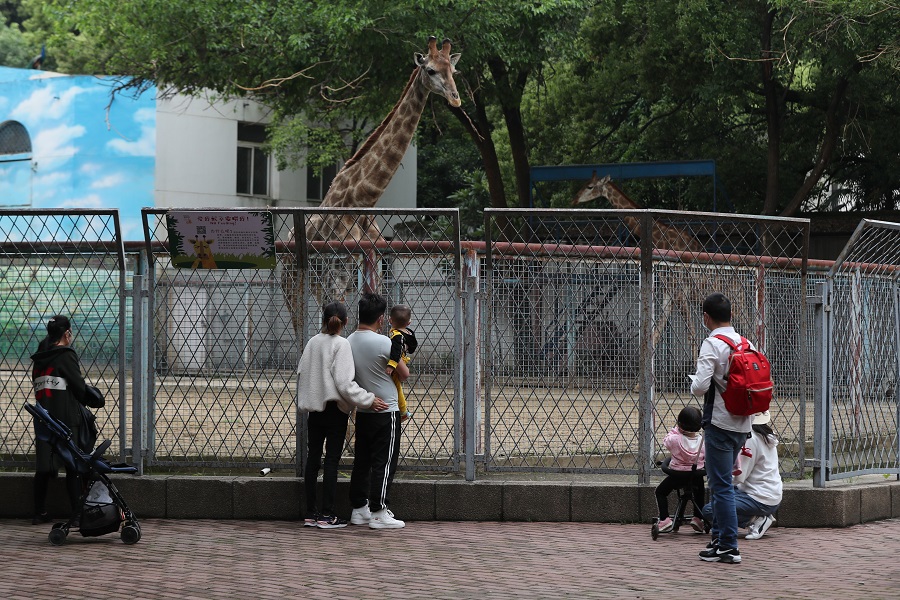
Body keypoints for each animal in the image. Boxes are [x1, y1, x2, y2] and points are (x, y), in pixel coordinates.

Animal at [282, 37, 464, 338]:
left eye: (453, 71)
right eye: (430, 70)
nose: (455, 98)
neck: (362, 199)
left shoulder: (373, 264)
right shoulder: (337, 273)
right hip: (293, 279)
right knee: (299, 323)